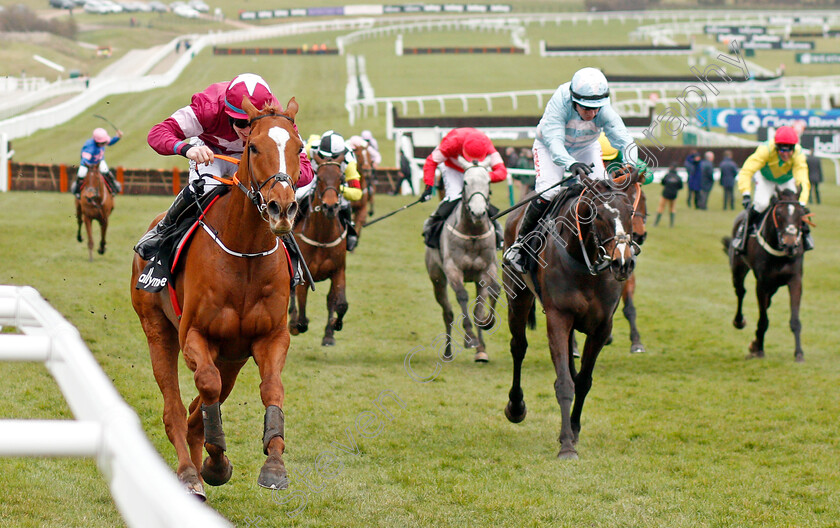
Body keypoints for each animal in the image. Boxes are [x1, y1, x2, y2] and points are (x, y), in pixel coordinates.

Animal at [130, 97, 304, 498]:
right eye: (254, 147)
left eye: (300, 148)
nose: (282, 208)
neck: (244, 252)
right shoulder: (195, 334)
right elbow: (205, 387)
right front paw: (215, 461)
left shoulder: (270, 337)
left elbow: (272, 389)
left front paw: (273, 465)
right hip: (157, 330)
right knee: (176, 410)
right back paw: (189, 473)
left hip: (232, 358)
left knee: (199, 408)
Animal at [288, 157, 348, 346]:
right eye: (319, 178)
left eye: (340, 177)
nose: (330, 207)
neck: (322, 237)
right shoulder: (305, 275)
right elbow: (302, 314)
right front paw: (296, 324)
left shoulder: (338, 270)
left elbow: (340, 304)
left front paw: (334, 326)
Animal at [424, 166, 502, 364]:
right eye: (465, 182)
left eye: (488, 181)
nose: (478, 212)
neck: (472, 233)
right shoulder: (453, 270)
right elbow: (462, 296)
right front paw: (470, 338)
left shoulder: (486, 271)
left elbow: (481, 306)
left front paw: (482, 337)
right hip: (437, 280)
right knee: (448, 313)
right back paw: (448, 352)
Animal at [502, 172, 640, 458]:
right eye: (598, 215)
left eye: (630, 211)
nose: (623, 262)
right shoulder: (558, 318)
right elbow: (565, 382)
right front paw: (566, 445)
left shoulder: (602, 327)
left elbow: (583, 380)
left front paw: (574, 430)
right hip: (517, 297)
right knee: (518, 347)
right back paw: (516, 406)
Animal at [720, 190, 808, 364]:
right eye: (778, 214)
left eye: (801, 214)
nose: (790, 244)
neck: (780, 253)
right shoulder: (762, 283)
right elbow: (763, 319)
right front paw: (759, 349)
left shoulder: (795, 280)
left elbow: (794, 319)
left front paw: (799, 353)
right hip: (738, 268)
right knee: (740, 291)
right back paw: (739, 322)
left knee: (766, 303)